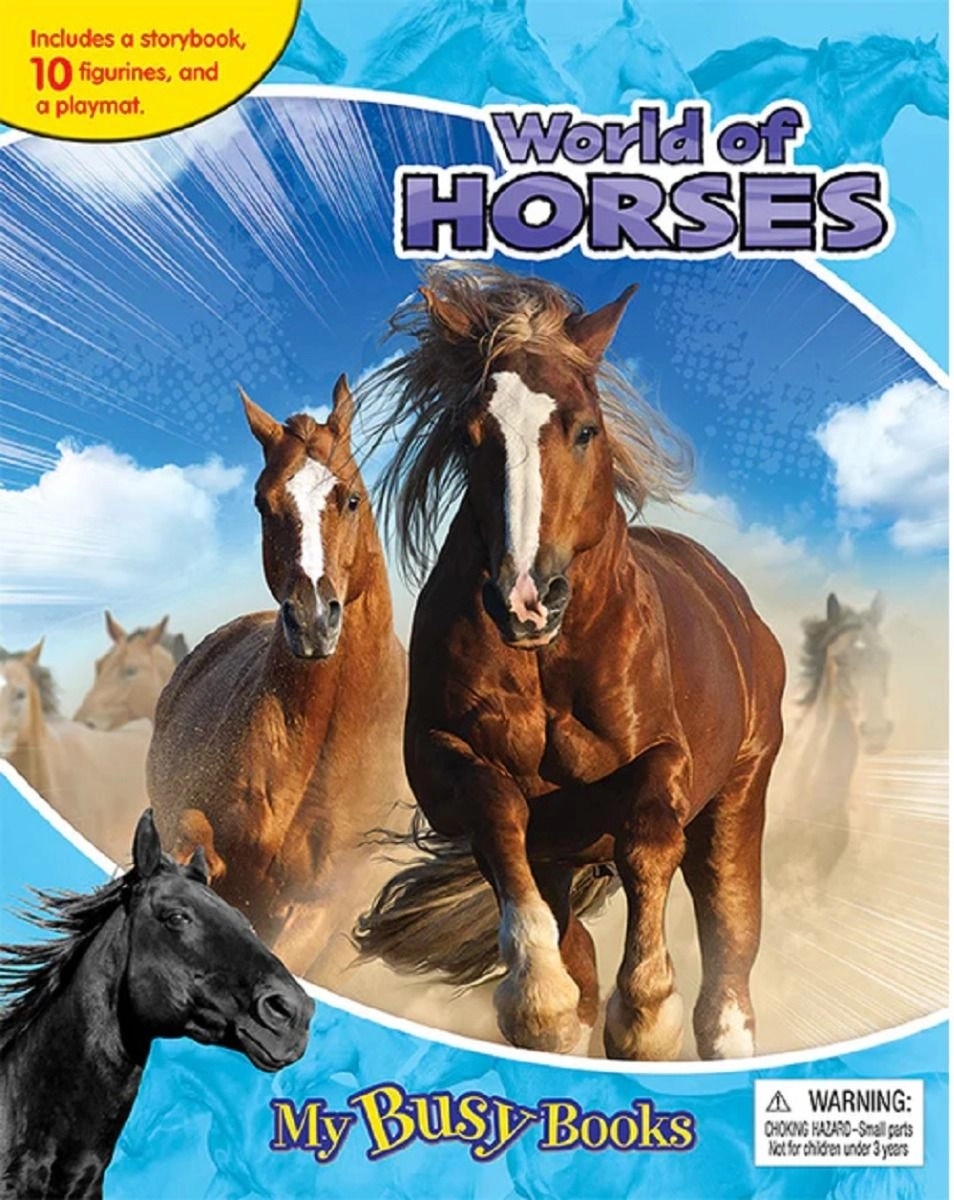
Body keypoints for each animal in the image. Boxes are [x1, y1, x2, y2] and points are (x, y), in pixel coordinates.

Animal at [357, 264, 785, 1060]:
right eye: (471, 437)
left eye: (584, 428)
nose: (526, 598)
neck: (548, 664)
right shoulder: (447, 764)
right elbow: (497, 813)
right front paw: (542, 1004)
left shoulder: (665, 760)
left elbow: (650, 836)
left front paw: (644, 1013)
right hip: (563, 856)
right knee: (577, 943)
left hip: (738, 802)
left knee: (727, 976)